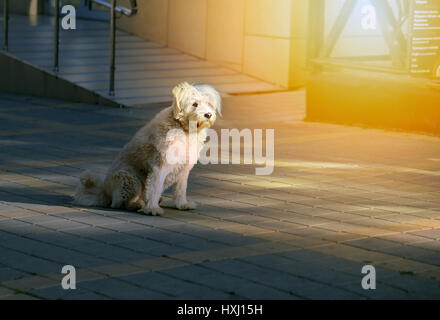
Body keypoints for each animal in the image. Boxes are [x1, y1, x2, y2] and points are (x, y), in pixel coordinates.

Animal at [74, 84, 223, 216]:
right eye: (195, 104)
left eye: (209, 103)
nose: (208, 114)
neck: (183, 128)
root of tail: (105, 192)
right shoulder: (159, 166)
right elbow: (154, 188)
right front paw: (152, 209)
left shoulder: (184, 168)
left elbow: (181, 189)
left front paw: (182, 204)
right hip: (130, 179)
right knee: (118, 203)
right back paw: (137, 204)